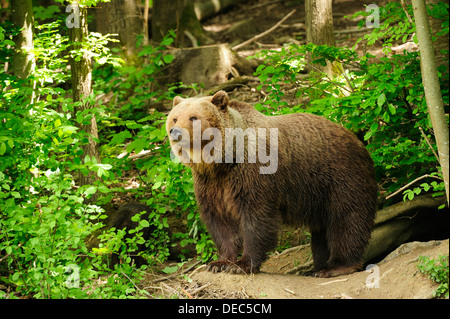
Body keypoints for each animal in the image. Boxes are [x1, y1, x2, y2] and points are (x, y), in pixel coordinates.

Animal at [167, 90, 378, 278]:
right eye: (175, 118)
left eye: (193, 117)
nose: (174, 132)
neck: (222, 161)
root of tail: (357, 139)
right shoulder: (210, 184)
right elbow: (221, 222)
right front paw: (219, 263)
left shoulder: (253, 172)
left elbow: (256, 217)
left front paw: (242, 265)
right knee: (322, 231)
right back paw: (317, 267)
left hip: (341, 176)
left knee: (346, 218)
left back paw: (336, 266)